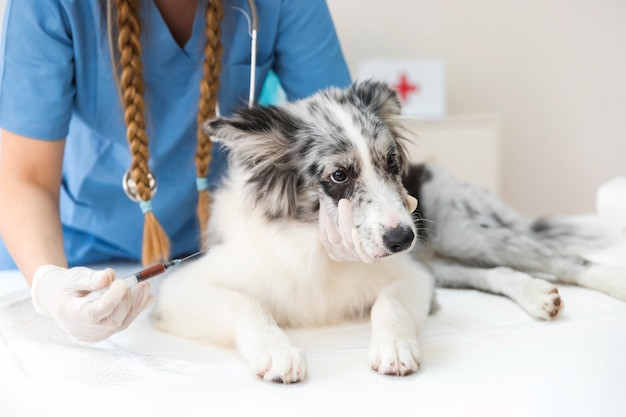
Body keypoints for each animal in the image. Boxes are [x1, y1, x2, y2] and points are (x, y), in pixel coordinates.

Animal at [153, 79, 434, 382]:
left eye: (391, 161)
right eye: (339, 175)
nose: (402, 239)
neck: (317, 250)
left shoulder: (415, 276)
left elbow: (391, 301)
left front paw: (395, 346)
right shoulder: (180, 288)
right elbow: (247, 303)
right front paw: (277, 352)